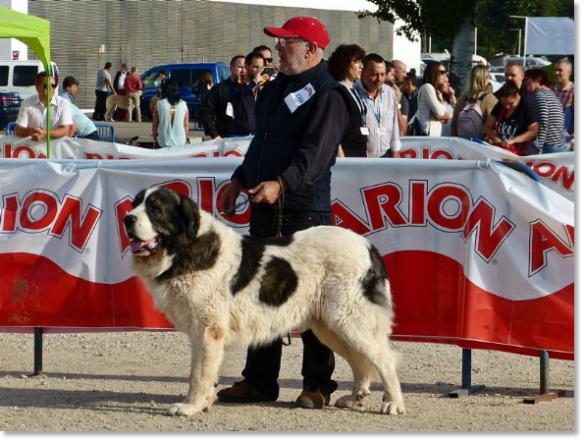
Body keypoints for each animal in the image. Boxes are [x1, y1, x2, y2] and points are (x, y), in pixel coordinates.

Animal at [124, 188, 404, 416]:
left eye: (155, 209)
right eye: (136, 204)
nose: (127, 218)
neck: (187, 246)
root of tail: (368, 246)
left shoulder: (207, 329)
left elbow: (198, 374)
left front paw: (189, 407)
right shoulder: (206, 333)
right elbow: (208, 371)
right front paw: (204, 403)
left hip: (348, 319)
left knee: (385, 359)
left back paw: (393, 403)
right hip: (331, 326)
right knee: (360, 360)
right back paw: (355, 398)